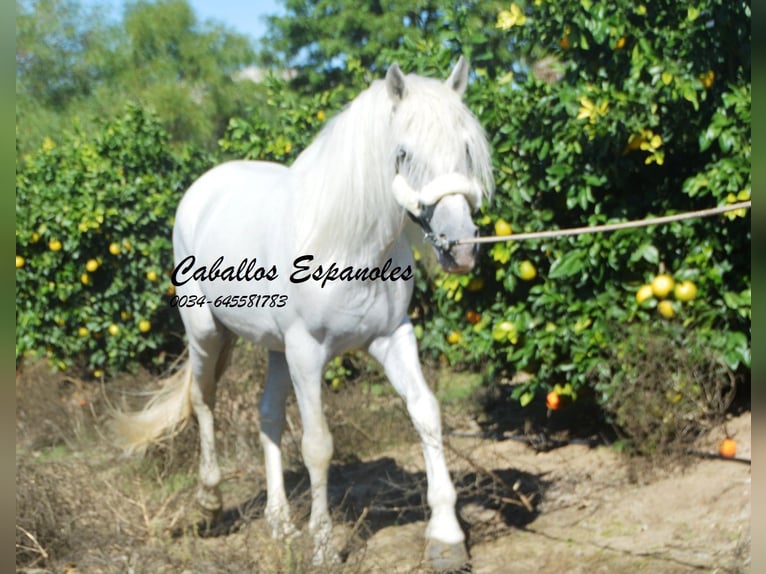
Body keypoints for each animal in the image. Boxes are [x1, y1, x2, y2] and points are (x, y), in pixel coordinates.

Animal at [116, 58, 496, 572]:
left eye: (466, 148)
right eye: (403, 153)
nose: (460, 249)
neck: (347, 244)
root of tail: (204, 188)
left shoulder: (392, 337)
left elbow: (426, 413)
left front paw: (446, 537)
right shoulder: (307, 351)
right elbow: (318, 446)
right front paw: (324, 547)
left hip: (276, 350)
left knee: (268, 416)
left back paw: (279, 523)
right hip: (207, 333)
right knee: (203, 400)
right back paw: (210, 503)